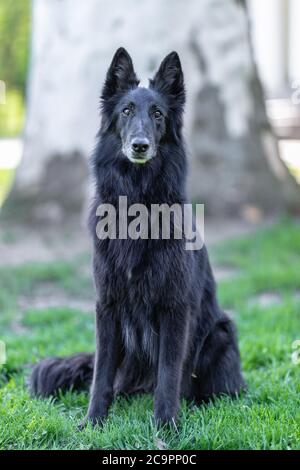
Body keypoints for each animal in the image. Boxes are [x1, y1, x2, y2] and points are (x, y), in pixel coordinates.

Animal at [30, 46, 245, 426]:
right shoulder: (107, 306)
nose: (140, 146)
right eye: (126, 111)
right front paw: (93, 422)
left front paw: (166, 426)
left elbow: (169, 375)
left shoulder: (175, 309)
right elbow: (101, 375)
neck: (137, 207)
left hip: (221, 331)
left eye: (158, 114)